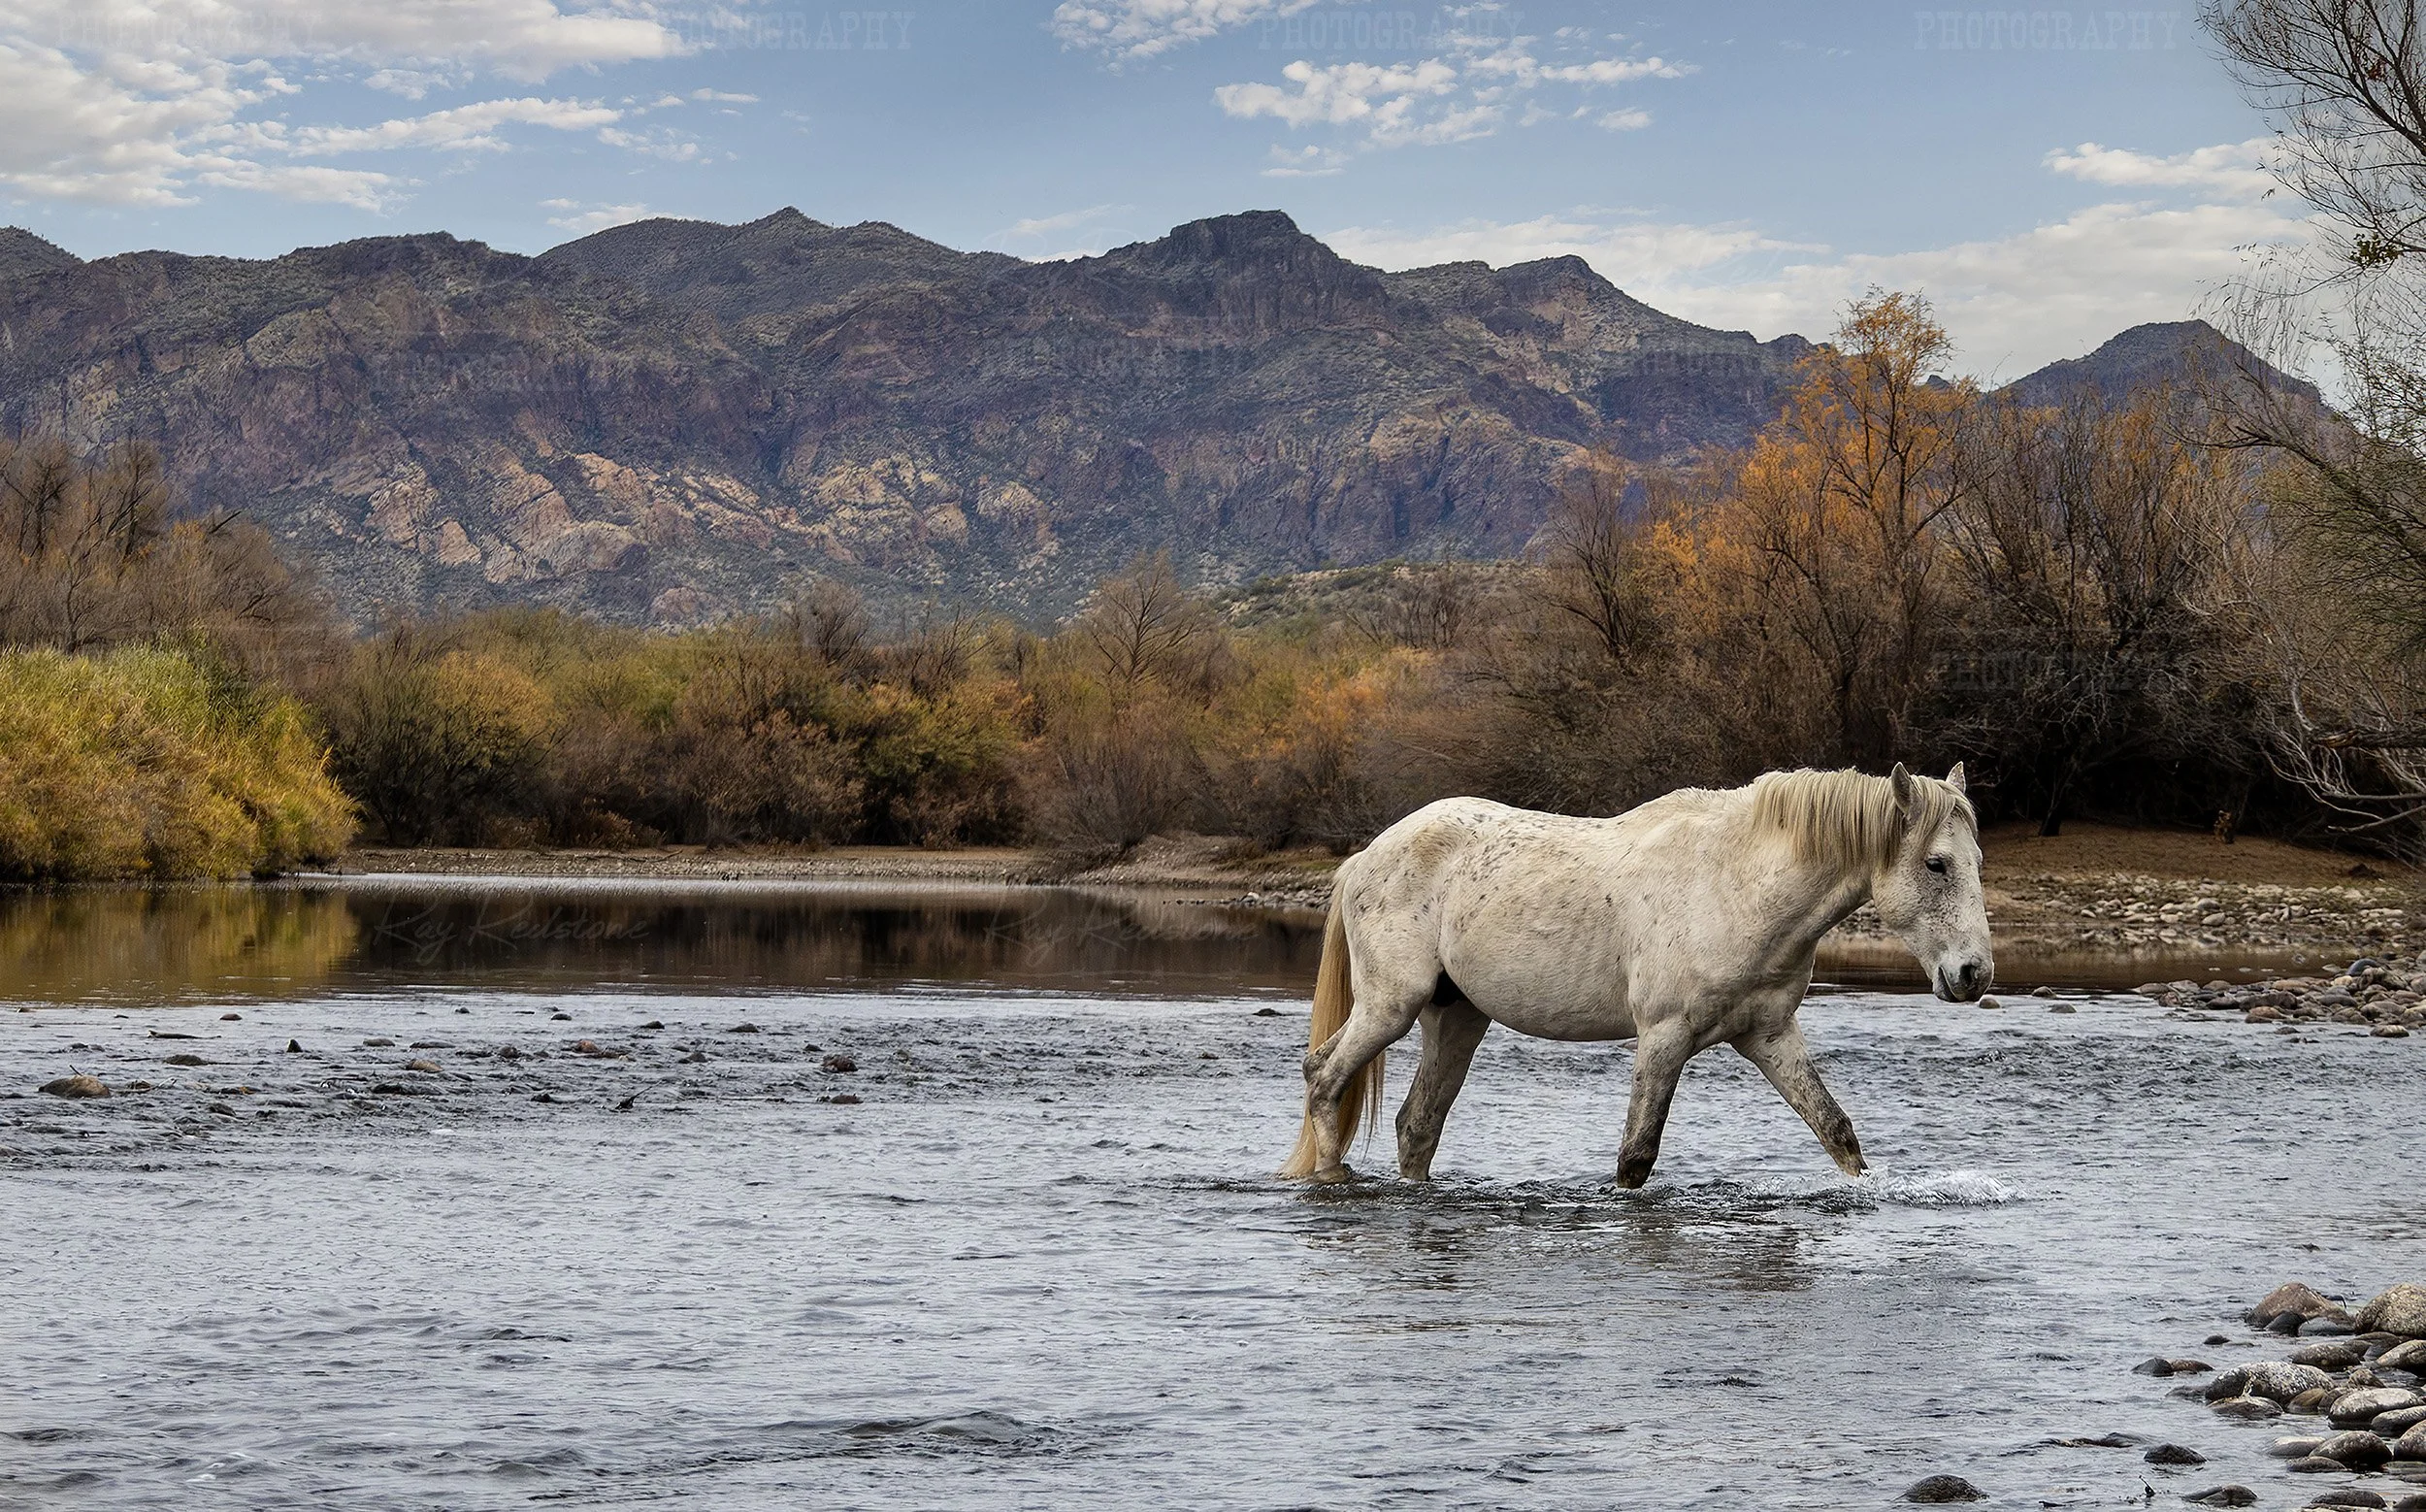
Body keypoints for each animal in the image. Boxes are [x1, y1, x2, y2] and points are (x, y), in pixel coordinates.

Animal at [1278, 764, 1990, 1186]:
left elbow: (1838, 1132)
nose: (1973, 974)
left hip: (1457, 1018)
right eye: (1936, 864)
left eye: (1977, 861)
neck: (1735, 882)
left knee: (1417, 1124)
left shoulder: (1769, 1035)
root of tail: (1367, 856)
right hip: (1391, 1006)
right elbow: (1635, 1158)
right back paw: (1328, 1179)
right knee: (1325, 1078)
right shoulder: (1663, 1038)